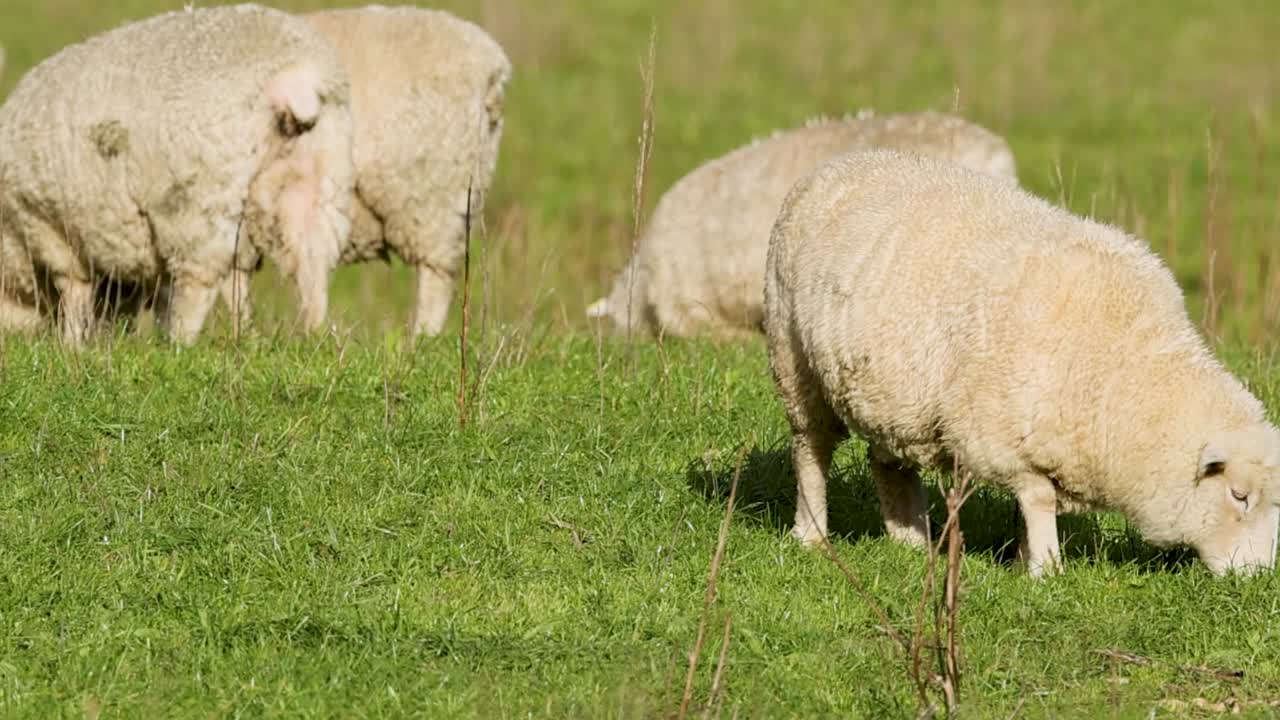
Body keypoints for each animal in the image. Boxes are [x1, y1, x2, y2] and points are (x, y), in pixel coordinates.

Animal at [0, 4, 355, 346]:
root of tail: (296, 80)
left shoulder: (50, 230)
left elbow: (75, 294)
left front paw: (71, 347)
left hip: (197, 206)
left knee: (200, 285)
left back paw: (178, 344)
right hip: (318, 187)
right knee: (307, 271)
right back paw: (296, 338)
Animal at [764, 149, 1280, 577]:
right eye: (1239, 496)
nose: (1257, 578)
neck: (1120, 374)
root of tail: (834, 165)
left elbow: (1029, 506)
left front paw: (1021, 560)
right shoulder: (998, 436)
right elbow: (1037, 499)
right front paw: (1046, 569)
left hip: (895, 394)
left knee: (888, 461)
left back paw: (910, 541)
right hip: (795, 363)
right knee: (811, 450)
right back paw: (812, 534)